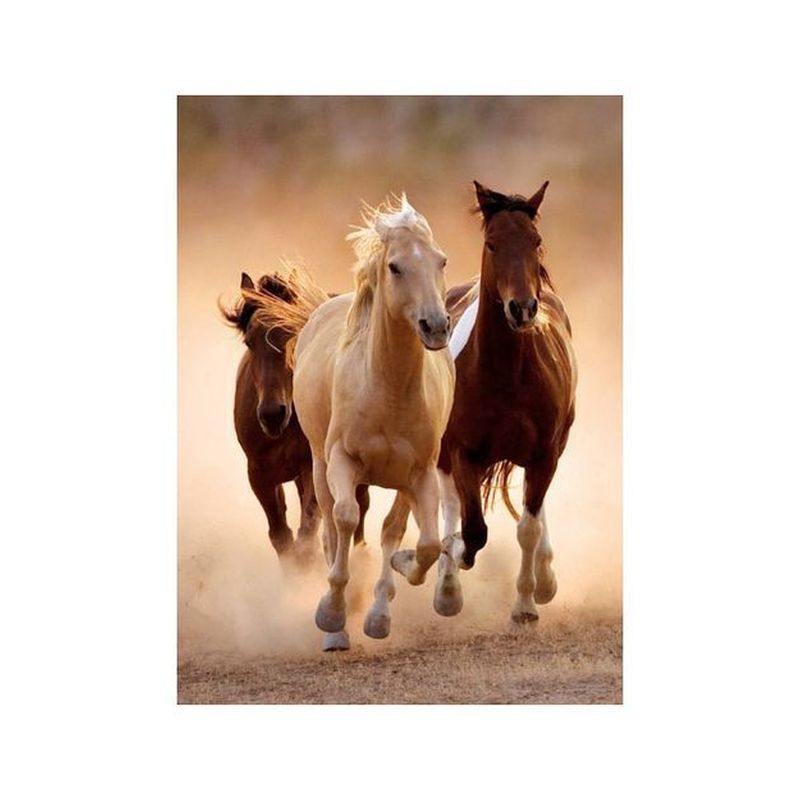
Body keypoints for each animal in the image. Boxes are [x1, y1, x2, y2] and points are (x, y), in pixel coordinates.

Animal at [220, 271, 370, 567]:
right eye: (249, 342)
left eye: (293, 336)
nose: (272, 414)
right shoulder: (259, 474)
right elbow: (281, 536)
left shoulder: (310, 467)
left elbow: (307, 532)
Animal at [254, 195, 455, 650]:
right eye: (395, 266)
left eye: (441, 260)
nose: (436, 326)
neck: (388, 390)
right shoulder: (342, 462)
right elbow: (344, 521)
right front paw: (331, 614)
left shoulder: (419, 474)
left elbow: (422, 542)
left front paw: (394, 582)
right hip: (318, 466)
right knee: (331, 526)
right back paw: (337, 629)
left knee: (387, 529)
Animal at [390, 180, 577, 624]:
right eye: (492, 243)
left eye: (535, 240)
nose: (522, 308)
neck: (507, 375)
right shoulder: (462, 452)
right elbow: (472, 530)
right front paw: (441, 566)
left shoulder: (545, 453)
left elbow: (527, 526)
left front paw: (527, 603)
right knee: (452, 506)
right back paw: (445, 586)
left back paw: (543, 578)